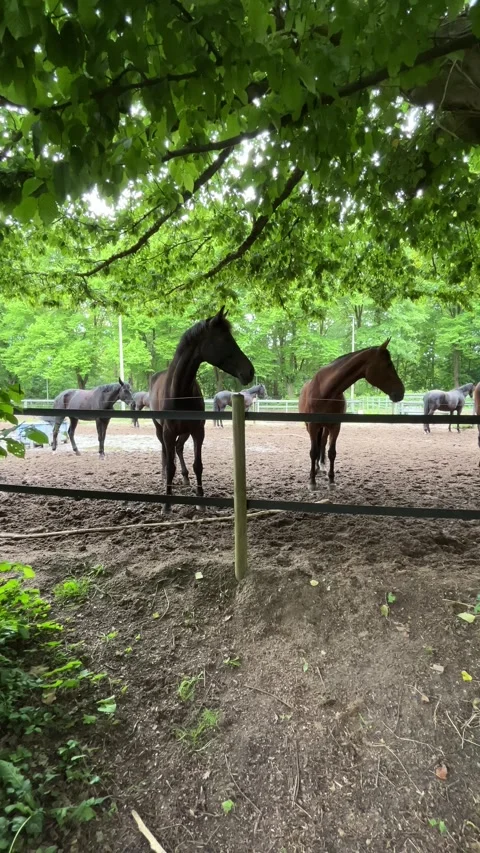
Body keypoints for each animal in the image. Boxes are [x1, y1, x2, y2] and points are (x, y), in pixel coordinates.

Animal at [149, 307, 254, 512]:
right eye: (224, 339)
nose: (250, 371)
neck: (179, 392)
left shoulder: (198, 430)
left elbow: (198, 465)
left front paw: (200, 500)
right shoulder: (168, 432)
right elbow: (170, 464)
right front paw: (167, 503)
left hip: (184, 432)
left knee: (178, 449)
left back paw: (185, 478)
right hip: (160, 430)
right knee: (166, 453)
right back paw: (166, 479)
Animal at [299, 341, 404, 491]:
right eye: (388, 364)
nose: (401, 391)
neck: (326, 392)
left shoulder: (335, 426)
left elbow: (332, 452)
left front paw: (331, 481)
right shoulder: (313, 426)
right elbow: (313, 452)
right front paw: (312, 481)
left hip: (325, 428)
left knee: (323, 443)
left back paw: (322, 466)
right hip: (311, 427)